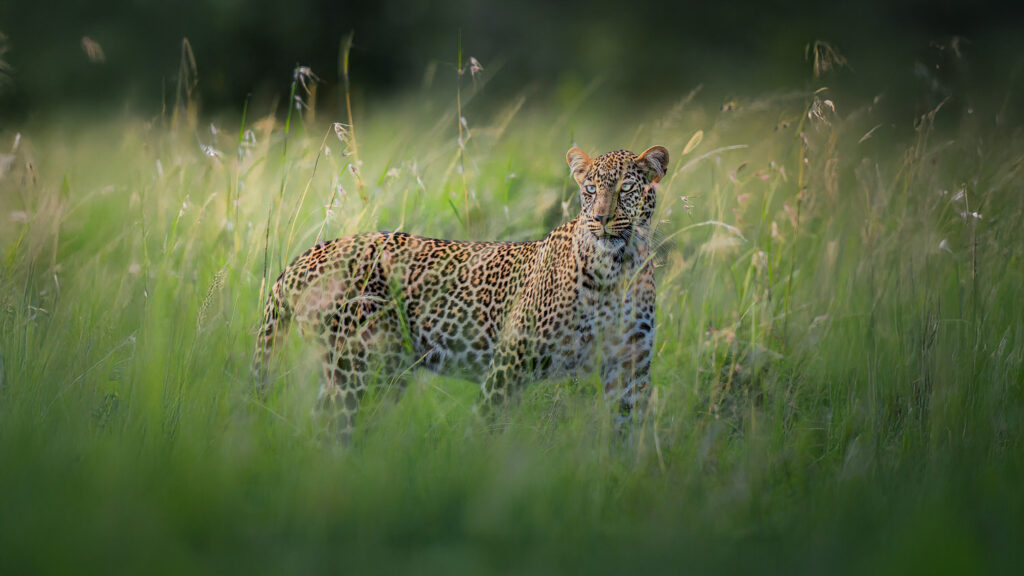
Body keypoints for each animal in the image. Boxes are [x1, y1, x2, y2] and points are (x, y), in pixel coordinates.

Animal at [253, 145, 670, 438]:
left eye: (626, 188)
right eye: (590, 189)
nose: (600, 218)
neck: (619, 268)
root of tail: (304, 257)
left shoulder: (630, 368)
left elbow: (624, 436)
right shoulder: (509, 361)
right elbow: (486, 424)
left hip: (380, 372)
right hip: (356, 365)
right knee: (330, 426)